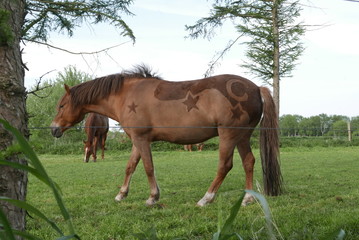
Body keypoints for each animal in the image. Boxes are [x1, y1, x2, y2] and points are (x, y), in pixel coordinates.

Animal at [49, 65, 282, 206]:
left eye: (61, 105)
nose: (53, 129)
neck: (127, 94)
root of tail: (255, 88)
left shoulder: (142, 140)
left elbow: (148, 167)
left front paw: (153, 197)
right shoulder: (137, 141)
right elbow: (130, 166)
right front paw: (121, 194)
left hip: (228, 136)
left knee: (225, 166)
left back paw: (206, 199)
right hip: (241, 137)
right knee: (249, 162)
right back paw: (248, 199)